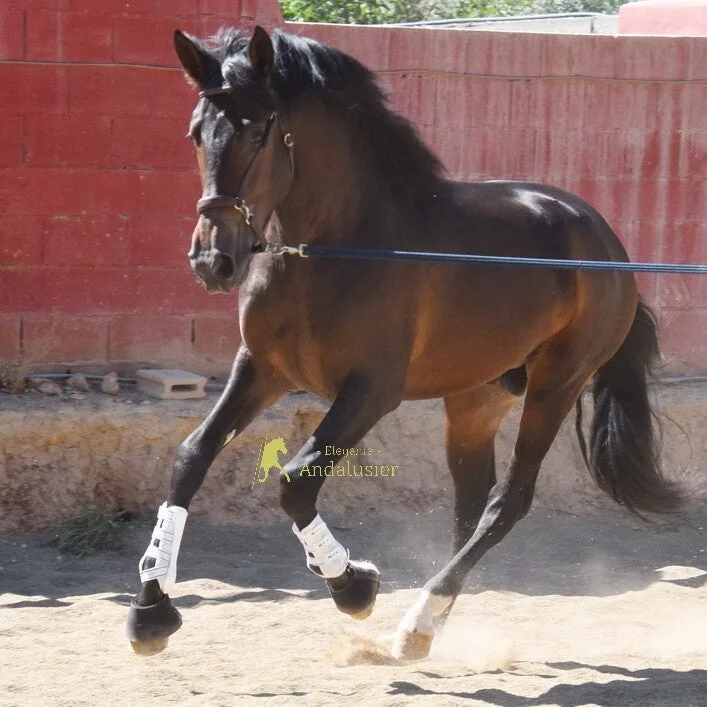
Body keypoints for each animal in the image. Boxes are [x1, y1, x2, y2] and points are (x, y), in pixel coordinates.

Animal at [125, 25, 683, 658]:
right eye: (197, 132)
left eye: (257, 130)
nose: (213, 261)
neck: (330, 249)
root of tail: (610, 245)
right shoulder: (262, 370)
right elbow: (190, 458)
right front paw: (150, 612)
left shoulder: (371, 391)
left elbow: (296, 482)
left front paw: (354, 587)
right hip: (476, 398)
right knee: (473, 501)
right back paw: (435, 622)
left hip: (556, 385)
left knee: (508, 500)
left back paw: (417, 623)